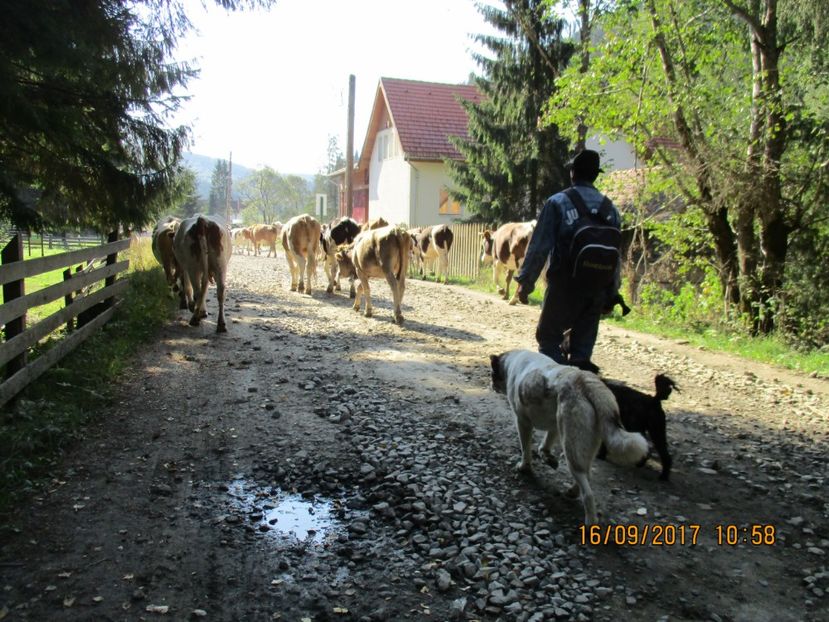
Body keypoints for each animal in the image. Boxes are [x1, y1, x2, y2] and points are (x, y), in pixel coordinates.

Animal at [488, 352, 652, 528]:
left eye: (492, 373)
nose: (491, 385)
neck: (510, 363)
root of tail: (585, 382)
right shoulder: (555, 424)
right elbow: (546, 442)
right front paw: (546, 456)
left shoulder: (522, 422)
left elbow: (525, 449)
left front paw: (524, 467)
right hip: (584, 446)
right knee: (587, 475)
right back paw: (573, 492)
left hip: (571, 450)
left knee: (588, 493)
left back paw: (590, 522)